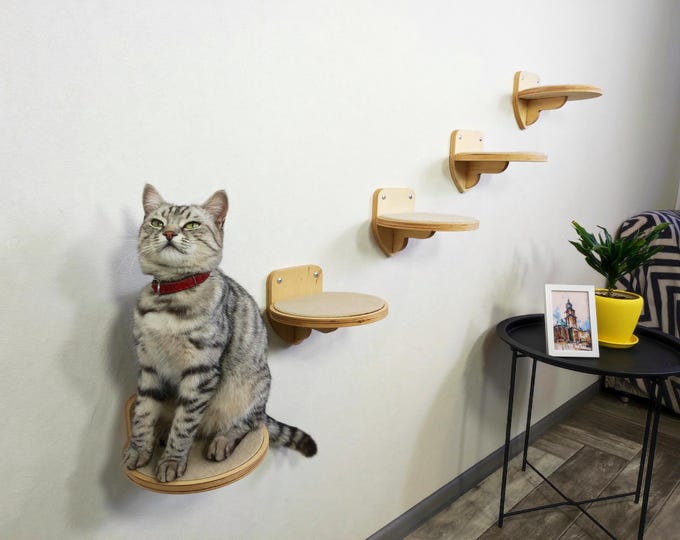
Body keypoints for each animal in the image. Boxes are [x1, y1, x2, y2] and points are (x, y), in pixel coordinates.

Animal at [123, 184, 316, 482]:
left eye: (191, 225)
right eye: (157, 222)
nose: (169, 233)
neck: (171, 296)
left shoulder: (201, 371)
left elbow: (185, 423)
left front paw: (172, 461)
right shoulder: (149, 365)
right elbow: (143, 413)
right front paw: (138, 449)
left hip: (249, 389)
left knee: (248, 423)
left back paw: (221, 441)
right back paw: (163, 431)